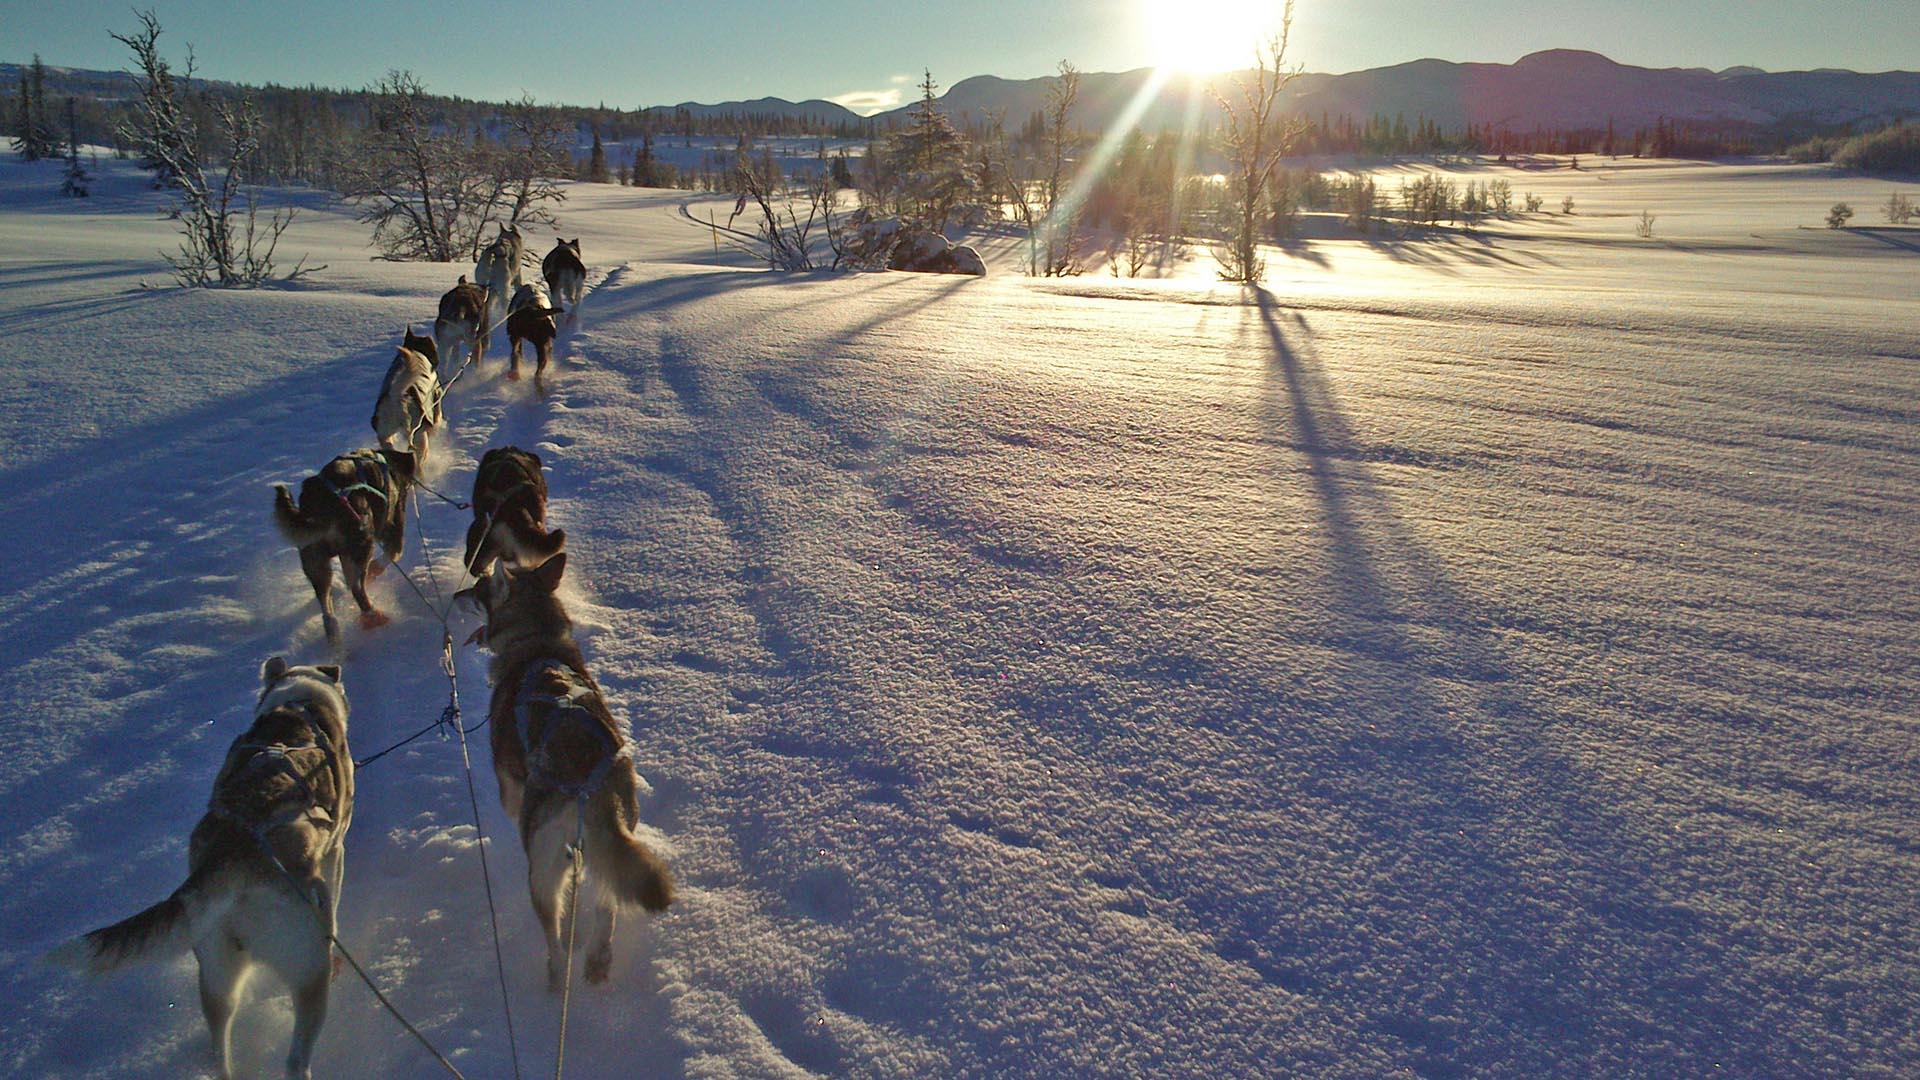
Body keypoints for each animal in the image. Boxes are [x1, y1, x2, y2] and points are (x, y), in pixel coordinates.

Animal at [51, 657, 353, 1076]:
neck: (297, 701)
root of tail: (236, 854)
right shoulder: (335, 849)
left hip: (214, 973)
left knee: (219, 1045)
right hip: (309, 970)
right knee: (295, 1059)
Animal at [270, 443, 416, 638]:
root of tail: (324, 503)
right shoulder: (393, 523)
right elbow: (394, 552)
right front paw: (376, 569)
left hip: (316, 559)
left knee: (326, 603)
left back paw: (333, 631)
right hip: (360, 548)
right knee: (357, 589)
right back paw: (372, 615)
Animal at [456, 553, 675, 983]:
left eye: (478, 589)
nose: (457, 594)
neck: (536, 646)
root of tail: (585, 782)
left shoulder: (511, 792)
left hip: (541, 869)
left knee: (553, 931)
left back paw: (558, 974)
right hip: (615, 837)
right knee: (607, 902)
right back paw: (598, 958)